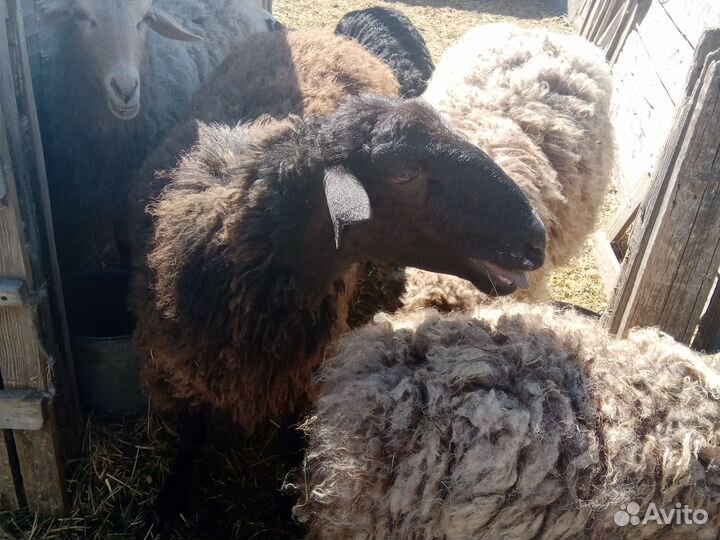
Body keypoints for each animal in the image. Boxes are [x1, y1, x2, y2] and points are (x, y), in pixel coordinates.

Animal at [128, 29, 547, 529]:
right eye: (403, 172)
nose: (535, 239)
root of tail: (321, 35)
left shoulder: (303, 371)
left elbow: (294, 439)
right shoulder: (184, 368)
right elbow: (191, 436)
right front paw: (168, 502)